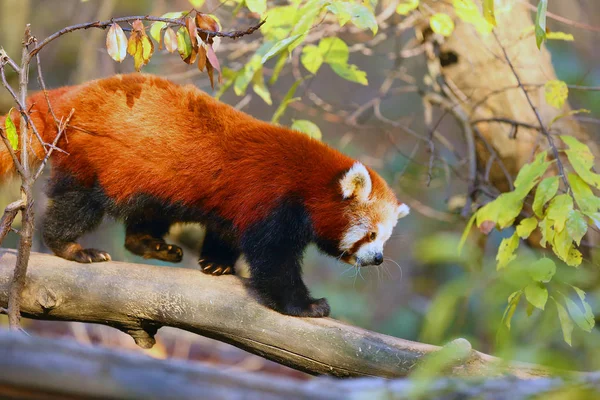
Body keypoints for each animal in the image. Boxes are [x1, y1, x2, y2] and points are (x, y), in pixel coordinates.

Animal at [0, 74, 410, 316]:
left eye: (385, 238)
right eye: (371, 234)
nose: (377, 259)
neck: (308, 179)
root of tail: (73, 92)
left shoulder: (235, 205)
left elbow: (226, 231)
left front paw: (217, 263)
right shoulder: (272, 199)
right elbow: (274, 262)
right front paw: (306, 305)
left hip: (150, 178)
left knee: (147, 211)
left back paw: (149, 243)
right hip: (94, 156)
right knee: (78, 203)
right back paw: (70, 247)